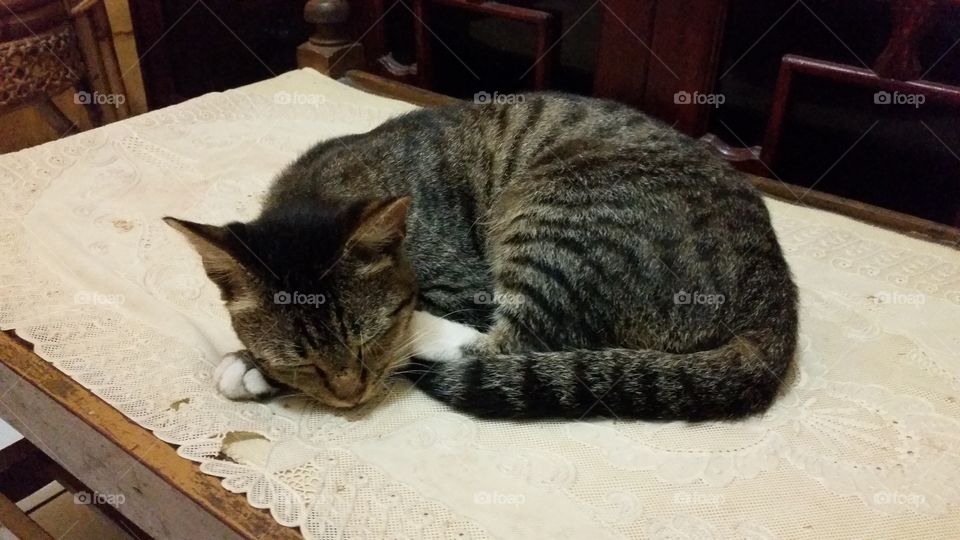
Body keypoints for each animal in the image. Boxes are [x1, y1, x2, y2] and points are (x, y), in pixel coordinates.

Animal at [165, 92, 796, 422]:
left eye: (369, 339)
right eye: (302, 361)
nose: (351, 395)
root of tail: (775, 294)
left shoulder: (461, 283)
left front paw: (250, 366)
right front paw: (252, 362)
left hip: (560, 219)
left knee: (518, 340)